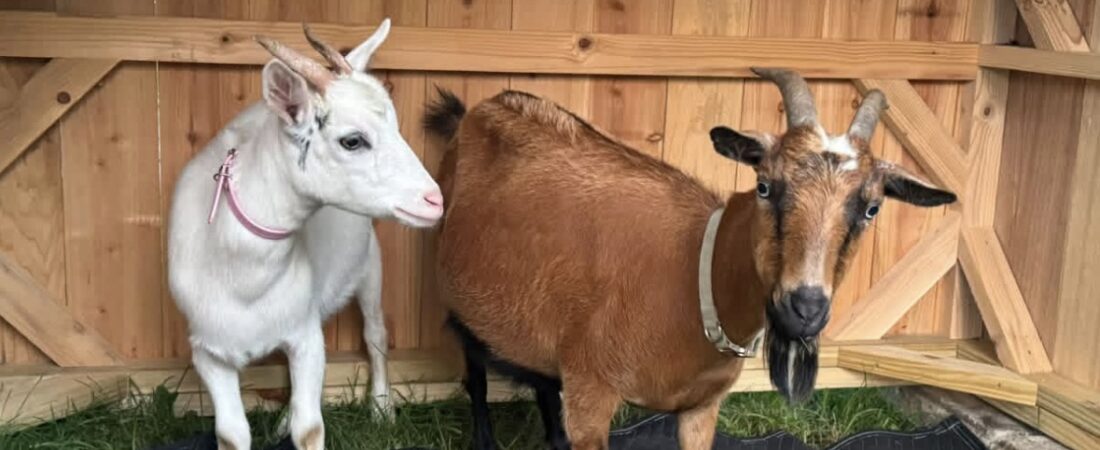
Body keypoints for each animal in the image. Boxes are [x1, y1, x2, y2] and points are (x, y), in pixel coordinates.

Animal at [167, 21, 442, 450]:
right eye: (352, 140)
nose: (434, 200)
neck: (244, 278)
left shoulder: (306, 337)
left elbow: (310, 428)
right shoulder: (208, 354)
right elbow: (231, 433)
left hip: (370, 263)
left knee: (376, 332)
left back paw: (381, 409)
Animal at [424, 69, 956, 450]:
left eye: (872, 207)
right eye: (765, 185)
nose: (803, 308)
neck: (693, 276)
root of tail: (479, 109)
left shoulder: (702, 408)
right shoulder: (592, 396)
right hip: (461, 305)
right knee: (474, 373)